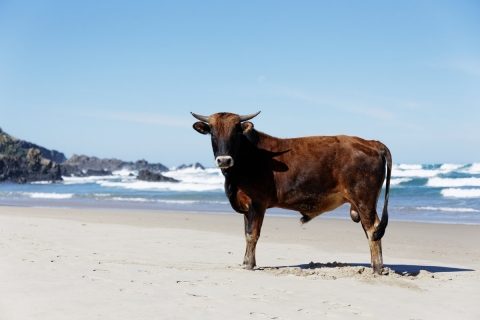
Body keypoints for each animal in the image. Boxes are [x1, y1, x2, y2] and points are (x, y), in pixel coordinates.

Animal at [190, 111, 390, 274]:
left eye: (236, 132)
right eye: (213, 132)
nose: (224, 160)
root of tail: (372, 143)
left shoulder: (258, 202)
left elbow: (252, 234)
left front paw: (249, 264)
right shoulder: (247, 206)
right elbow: (247, 233)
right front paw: (247, 262)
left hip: (364, 201)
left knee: (373, 230)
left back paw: (376, 269)